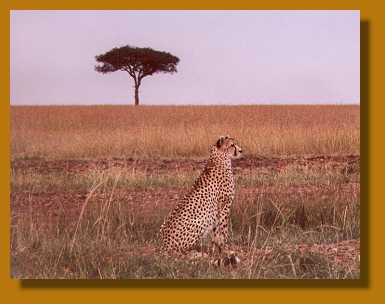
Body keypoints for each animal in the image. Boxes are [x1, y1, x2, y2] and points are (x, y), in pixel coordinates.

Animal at [159, 135, 243, 264]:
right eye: (232, 145)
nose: (241, 151)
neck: (219, 158)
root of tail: (163, 246)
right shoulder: (224, 206)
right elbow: (223, 231)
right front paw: (226, 249)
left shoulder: (216, 212)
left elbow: (216, 233)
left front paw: (216, 249)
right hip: (199, 220)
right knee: (181, 253)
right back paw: (198, 255)